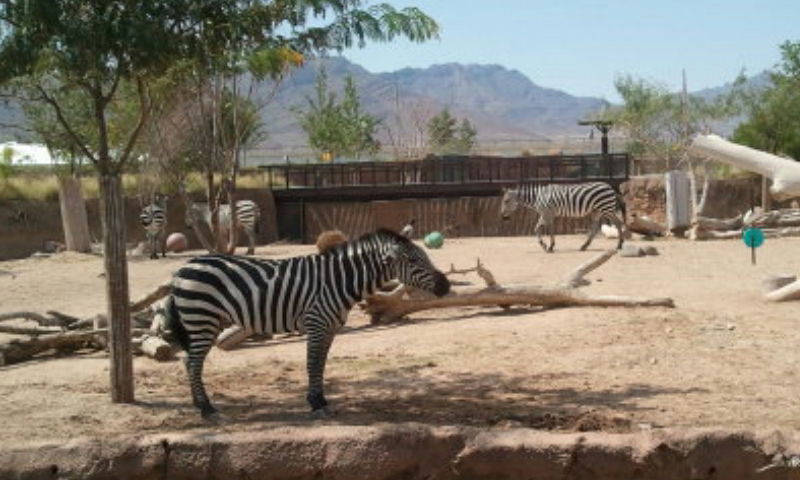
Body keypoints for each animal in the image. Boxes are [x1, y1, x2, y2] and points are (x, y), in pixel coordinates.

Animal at [164, 227, 450, 418]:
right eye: (413, 260)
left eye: (424, 256)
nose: (446, 286)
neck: (338, 282)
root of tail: (185, 266)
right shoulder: (316, 323)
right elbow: (312, 363)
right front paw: (315, 403)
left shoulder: (330, 328)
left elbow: (321, 364)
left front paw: (321, 400)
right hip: (201, 319)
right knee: (193, 363)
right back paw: (207, 409)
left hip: (206, 321)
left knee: (189, 362)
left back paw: (199, 405)